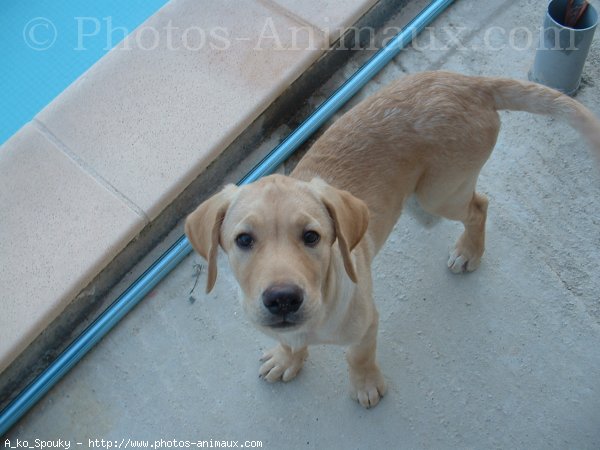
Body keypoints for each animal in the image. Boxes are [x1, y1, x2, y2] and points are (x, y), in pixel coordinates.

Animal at [185, 70, 596, 408]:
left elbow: (358, 356)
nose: (283, 299)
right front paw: (289, 358)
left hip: (440, 192)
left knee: (479, 205)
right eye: (243, 240)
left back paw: (469, 250)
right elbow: (289, 340)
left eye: (312, 236)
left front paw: (365, 385)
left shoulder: (367, 323)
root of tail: (471, 82)